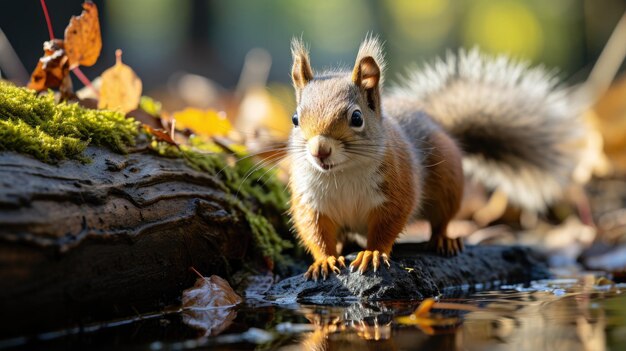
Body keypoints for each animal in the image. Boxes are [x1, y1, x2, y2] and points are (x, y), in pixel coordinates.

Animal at [286, 37, 580, 282]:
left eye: (356, 118)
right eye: (295, 118)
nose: (320, 150)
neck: (341, 173)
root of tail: (440, 127)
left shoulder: (398, 186)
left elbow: (387, 224)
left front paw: (372, 253)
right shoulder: (310, 200)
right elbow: (314, 230)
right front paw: (325, 260)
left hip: (448, 183)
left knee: (443, 219)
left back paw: (443, 240)